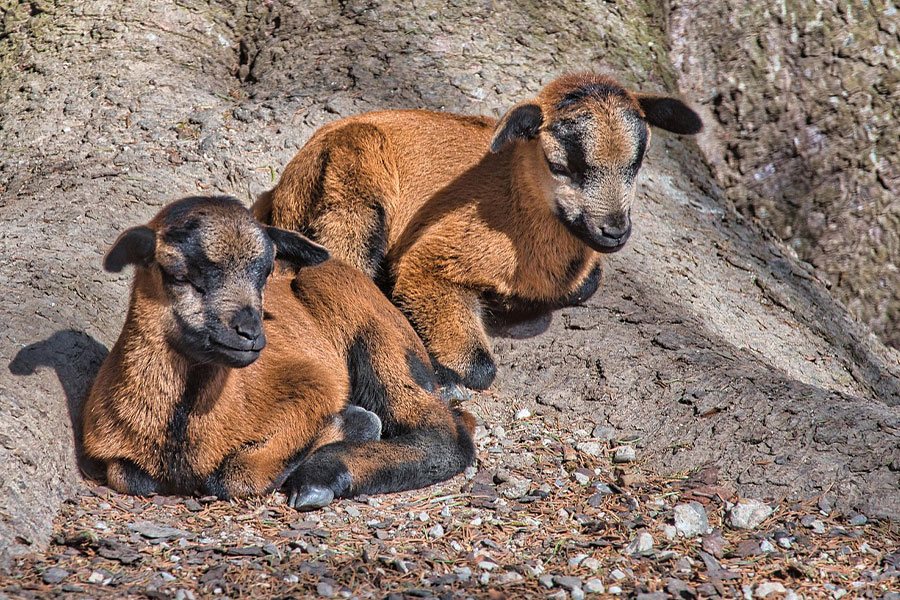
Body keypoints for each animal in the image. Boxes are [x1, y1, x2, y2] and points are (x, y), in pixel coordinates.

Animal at [83, 195, 476, 510]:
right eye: (178, 274)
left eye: (265, 272)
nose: (250, 332)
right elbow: (128, 476)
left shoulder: (311, 385)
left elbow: (236, 474)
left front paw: (349, 423)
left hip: (371, 328)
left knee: (444, 434)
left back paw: (321, 477)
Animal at [254, 73, 702, 392]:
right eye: (560, 166)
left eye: (637, 163)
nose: (614, 232)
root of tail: (285, 184)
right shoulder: (432, 260)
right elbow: (480, 368)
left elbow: (586, 283)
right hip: (353, 186)